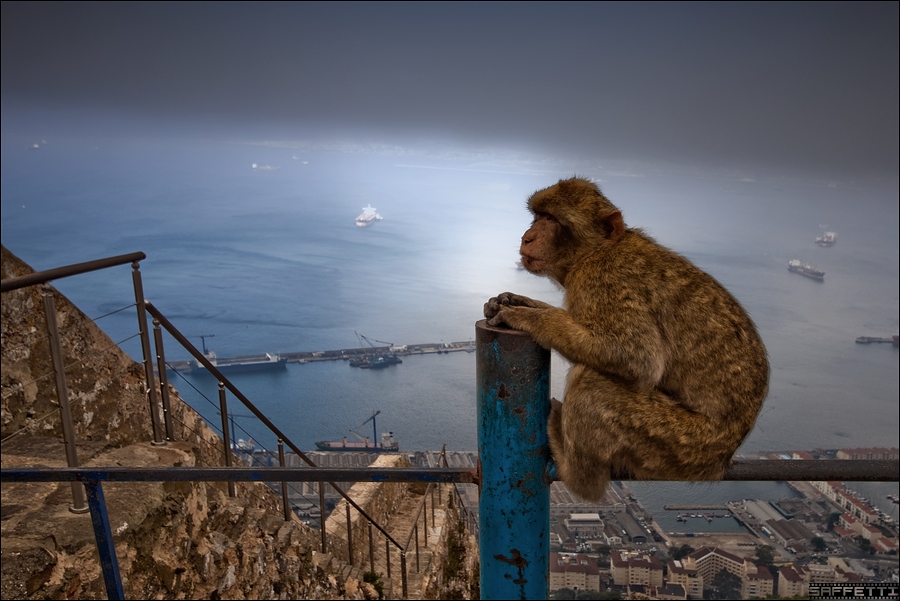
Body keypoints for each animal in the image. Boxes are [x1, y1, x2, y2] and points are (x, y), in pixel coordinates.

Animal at [484, 177, 769, 502]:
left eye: (552, 220)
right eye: (539, 216)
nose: (528, 237)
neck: (597, 251)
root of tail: (722, 459)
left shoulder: (602, 280)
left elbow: (637, 358)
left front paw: (527, 318)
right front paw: (519, 302)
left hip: (676, 442)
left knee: (591, 385)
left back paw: (575, 472)